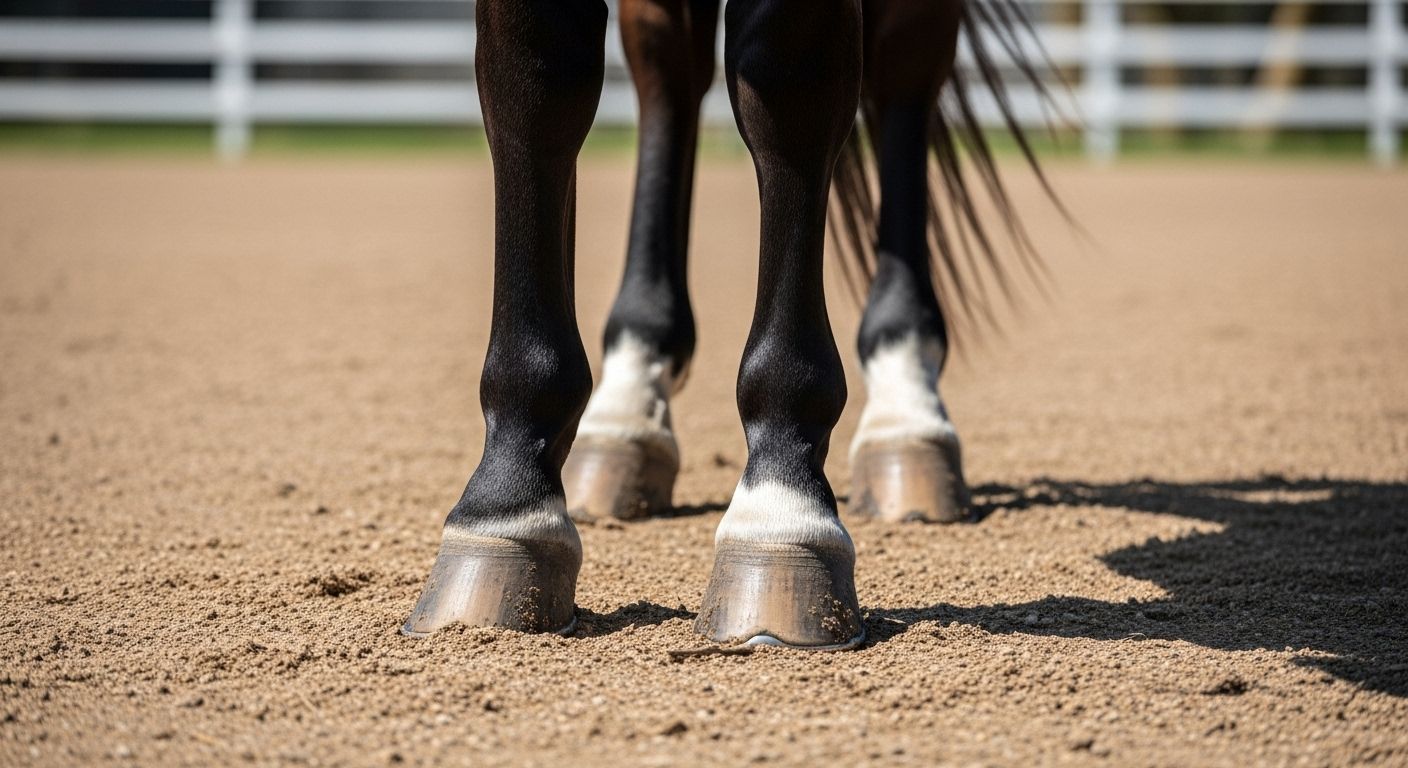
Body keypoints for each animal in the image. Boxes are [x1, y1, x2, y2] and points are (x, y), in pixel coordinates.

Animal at [402, 0, 1058, 649]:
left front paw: (780, 509)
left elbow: (787, 90)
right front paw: (506, 503)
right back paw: (627, 401)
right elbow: (536, 87)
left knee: (905, 64)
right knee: (666, 67)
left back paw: (905, 409)